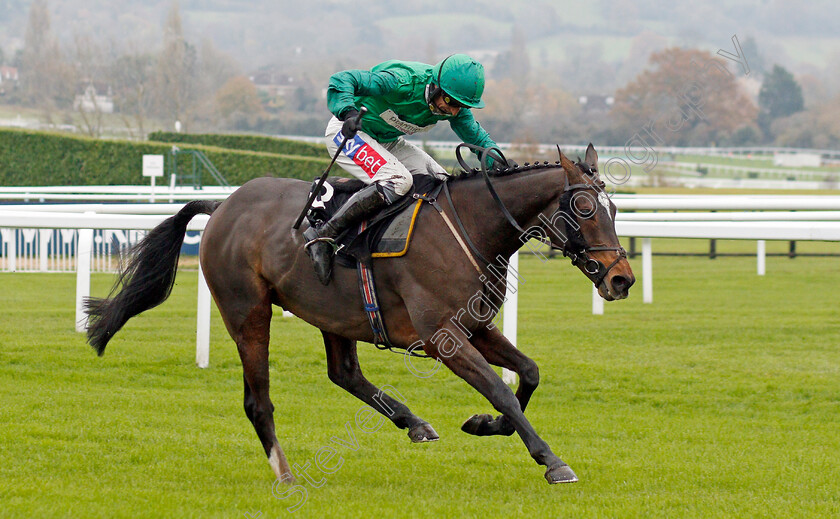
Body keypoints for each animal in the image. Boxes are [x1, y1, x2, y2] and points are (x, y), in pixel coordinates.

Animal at [87, 144, 636, 486]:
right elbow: (501, 389)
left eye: (613, 209)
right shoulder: (442, 336)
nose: (621, 279)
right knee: (258, 401)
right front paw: (552, 461)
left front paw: (485, 425)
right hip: (248, 312)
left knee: (344, 372)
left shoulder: (476, 325)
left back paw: (414, 422)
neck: (471, 228)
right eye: (586, 209)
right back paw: (285, 473)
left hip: (335, 313)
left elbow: (528, 373)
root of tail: (222, 205)